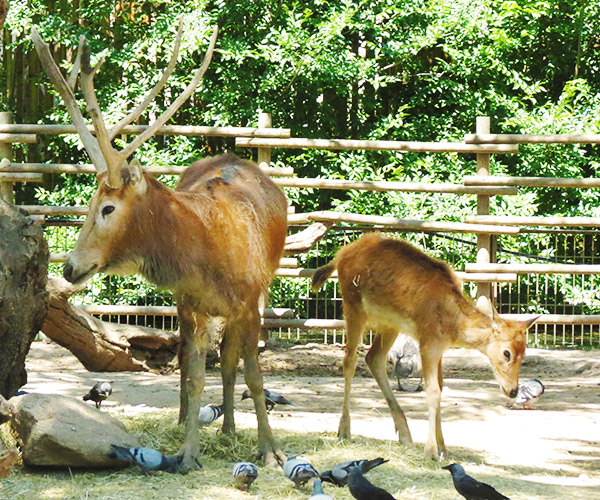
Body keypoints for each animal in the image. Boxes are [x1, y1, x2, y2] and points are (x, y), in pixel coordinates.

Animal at [31, 21, 290, 470]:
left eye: (108, 207)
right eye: (90, 205)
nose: (70, 267)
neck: (208, 251)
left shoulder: (250, 299)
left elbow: (255, 376)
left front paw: (270, 451)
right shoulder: (191, 301)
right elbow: (196, 374)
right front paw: (187, 453)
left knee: (231, 362)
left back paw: (230, 429)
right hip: (187, 311)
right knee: (191, 364)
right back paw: (202, 424)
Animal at [312, 232, 536, 458]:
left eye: (524, 353)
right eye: (507, 353)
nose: (513, 391)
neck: (451, 323)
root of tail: (341, 254)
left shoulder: (440, 348)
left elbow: (441, 386)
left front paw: (443, 447)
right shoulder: (427, 342)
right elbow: (433, 390)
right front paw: (431, 451)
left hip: (390, 323)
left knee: (373, 358)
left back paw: (404, 434)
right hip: (353, 305)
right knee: (349, 361)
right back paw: (344, 430)